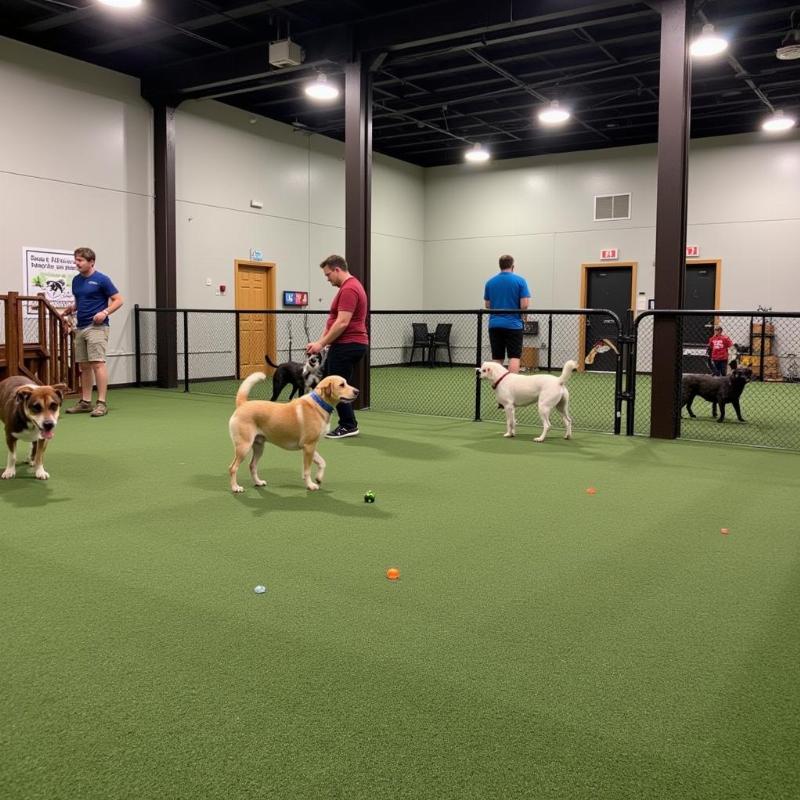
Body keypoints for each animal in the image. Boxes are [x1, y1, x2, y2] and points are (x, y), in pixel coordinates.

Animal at [228, 370, 360, 494]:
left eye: (346, 382)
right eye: (342, 385)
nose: (357, 391)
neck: (319, 404)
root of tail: (243, 403)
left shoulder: (310, 446)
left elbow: (322, 462)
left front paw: (318, 478)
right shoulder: (309, 446)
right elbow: (307, 470)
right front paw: (310, 485)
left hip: (259, 446)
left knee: (252, 465)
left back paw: (258, 482)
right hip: (244, 447)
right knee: (233, 468)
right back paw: (235, 488)